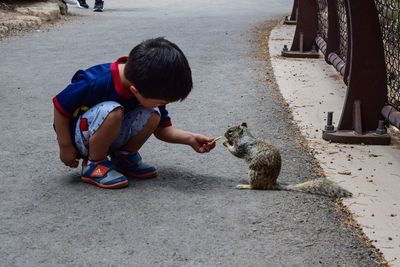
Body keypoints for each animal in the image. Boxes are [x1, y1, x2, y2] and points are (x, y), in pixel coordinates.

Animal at [223, 122, 352, 198]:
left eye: (230, 131)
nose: (224, 134)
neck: (245, 136)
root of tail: (272, 183)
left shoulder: (242, 146)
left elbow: (235, 152)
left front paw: (226, 143)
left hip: (254, 172)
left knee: (255, 186)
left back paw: (244, 185)